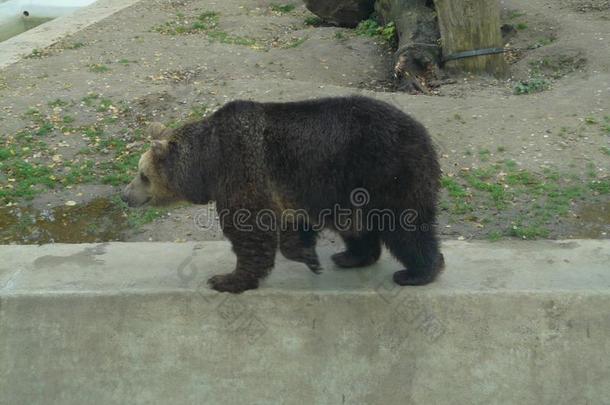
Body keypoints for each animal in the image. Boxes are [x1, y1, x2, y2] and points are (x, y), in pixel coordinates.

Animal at [122, 96, 442, 292]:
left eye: (143, 175)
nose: (125, 195)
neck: (209, 163)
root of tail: (423, 133)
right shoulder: (293, 189)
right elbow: (292, 225)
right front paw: (308, 254)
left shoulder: (243, 170)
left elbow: (249, 231)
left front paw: (227, 279)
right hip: (352, 189)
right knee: (357, 225)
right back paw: (350, 256)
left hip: (386, 170)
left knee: (405, 226)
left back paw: (417, 272)